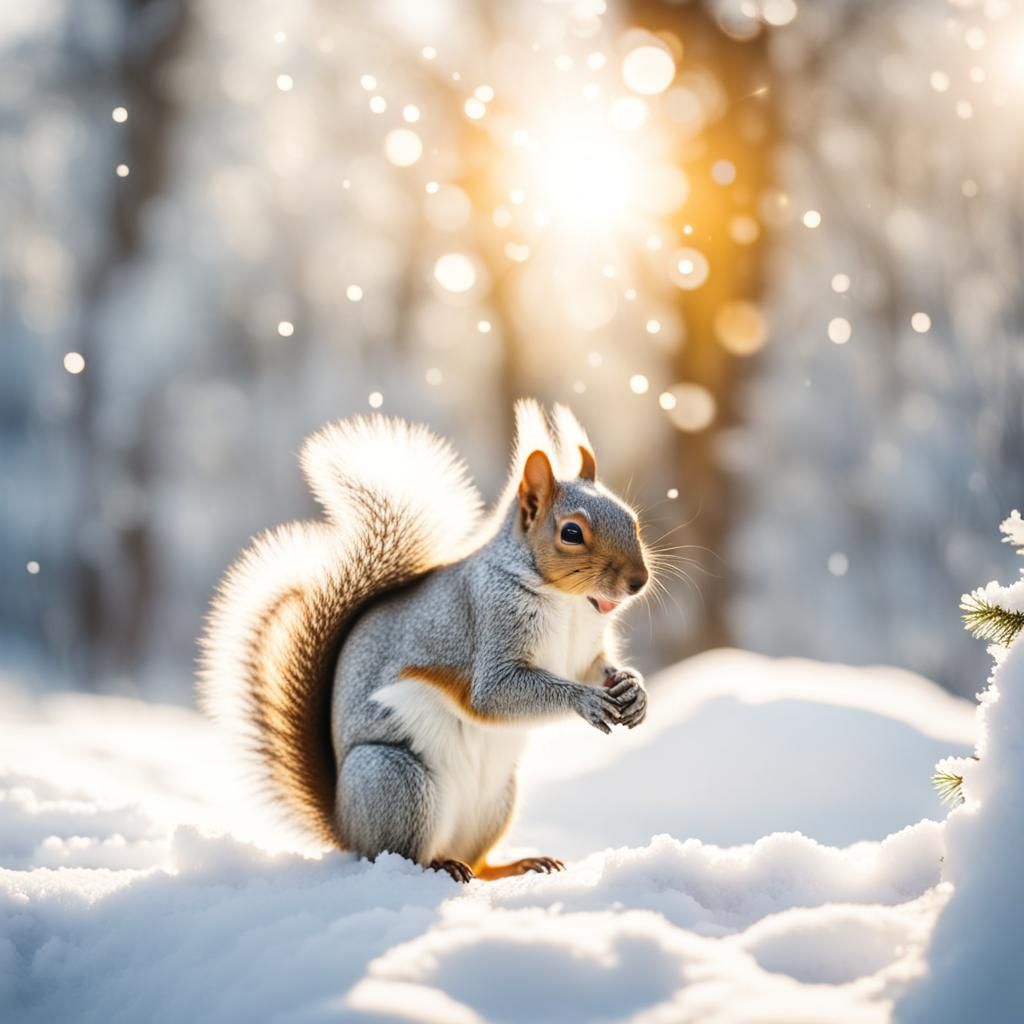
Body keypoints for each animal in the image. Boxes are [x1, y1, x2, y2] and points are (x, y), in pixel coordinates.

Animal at [199, 399, 650, 882]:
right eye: (571, 533)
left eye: (633, 521)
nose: (638, 580)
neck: (570, 605)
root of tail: (345, 827)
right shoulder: (490, 624)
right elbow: (495, 692)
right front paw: (586, 700)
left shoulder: (584, 653)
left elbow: (597, 669)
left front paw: (634, 690)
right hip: (399, 782)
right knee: (404, 854)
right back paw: (441, 865)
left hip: (497, 799)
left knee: (480, 862)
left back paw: (516, 865)